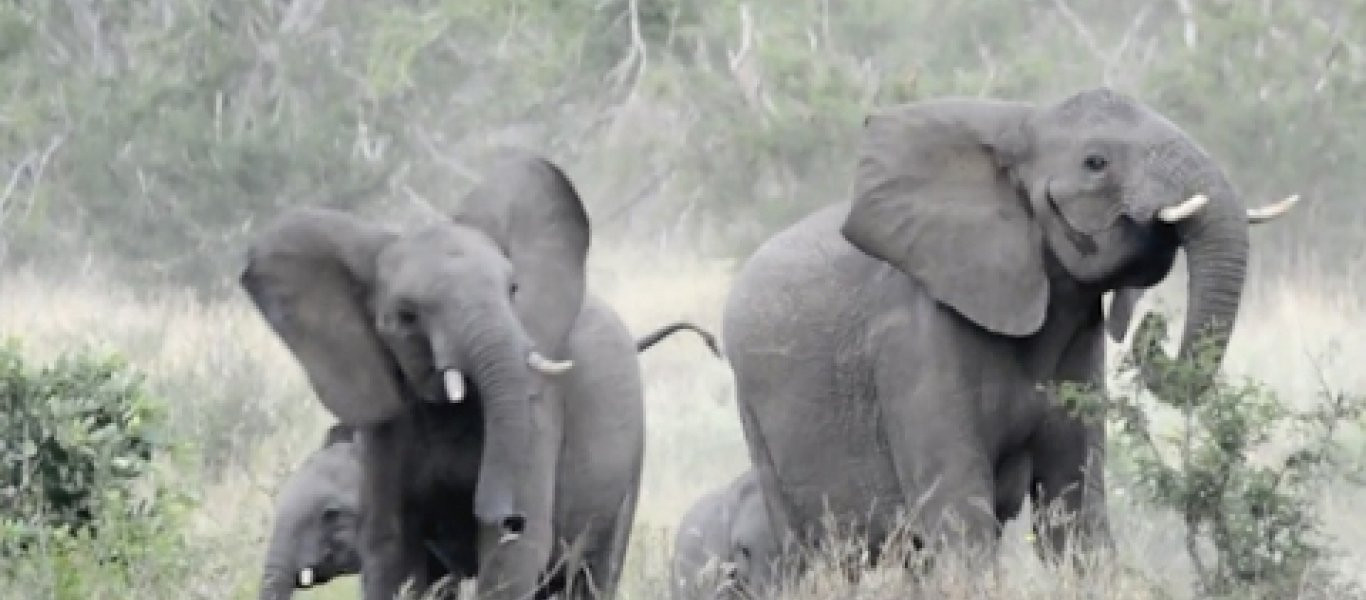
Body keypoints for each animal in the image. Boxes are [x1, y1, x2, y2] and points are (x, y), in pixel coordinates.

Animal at [721, 86, 1294, 571]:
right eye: (1095, 162)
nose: (1151, 327)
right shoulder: (915, 342)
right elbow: (959, 517)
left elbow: (1075, 513)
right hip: (757, 420)